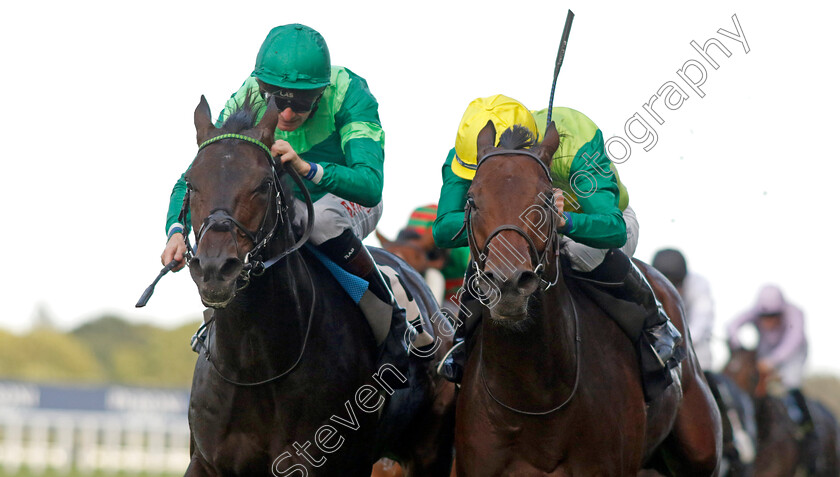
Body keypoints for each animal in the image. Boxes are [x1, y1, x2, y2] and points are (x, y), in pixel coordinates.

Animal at [181, 95, 456, 474]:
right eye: (191, 182)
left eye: (263, 184)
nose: (216, 269)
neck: (255, 365)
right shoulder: (206, 461)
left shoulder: (321, 462)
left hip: (428, 452)